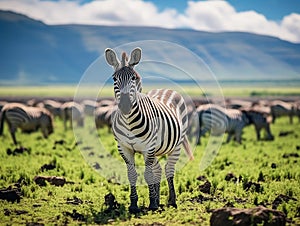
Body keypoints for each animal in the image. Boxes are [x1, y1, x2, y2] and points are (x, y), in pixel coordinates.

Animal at [105, 46, 193, 213]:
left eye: (133, 78)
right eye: (114, 79)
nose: (125, 106)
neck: (129, 122)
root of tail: (166, 89)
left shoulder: (148, 148)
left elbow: (147, 174)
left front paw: (152, 203)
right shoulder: (124, 148)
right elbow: (132, 174)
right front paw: (134, 204)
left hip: (176, 145)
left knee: (168, 169)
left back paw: (171, 200)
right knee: (158, 169)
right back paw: (159, 199)